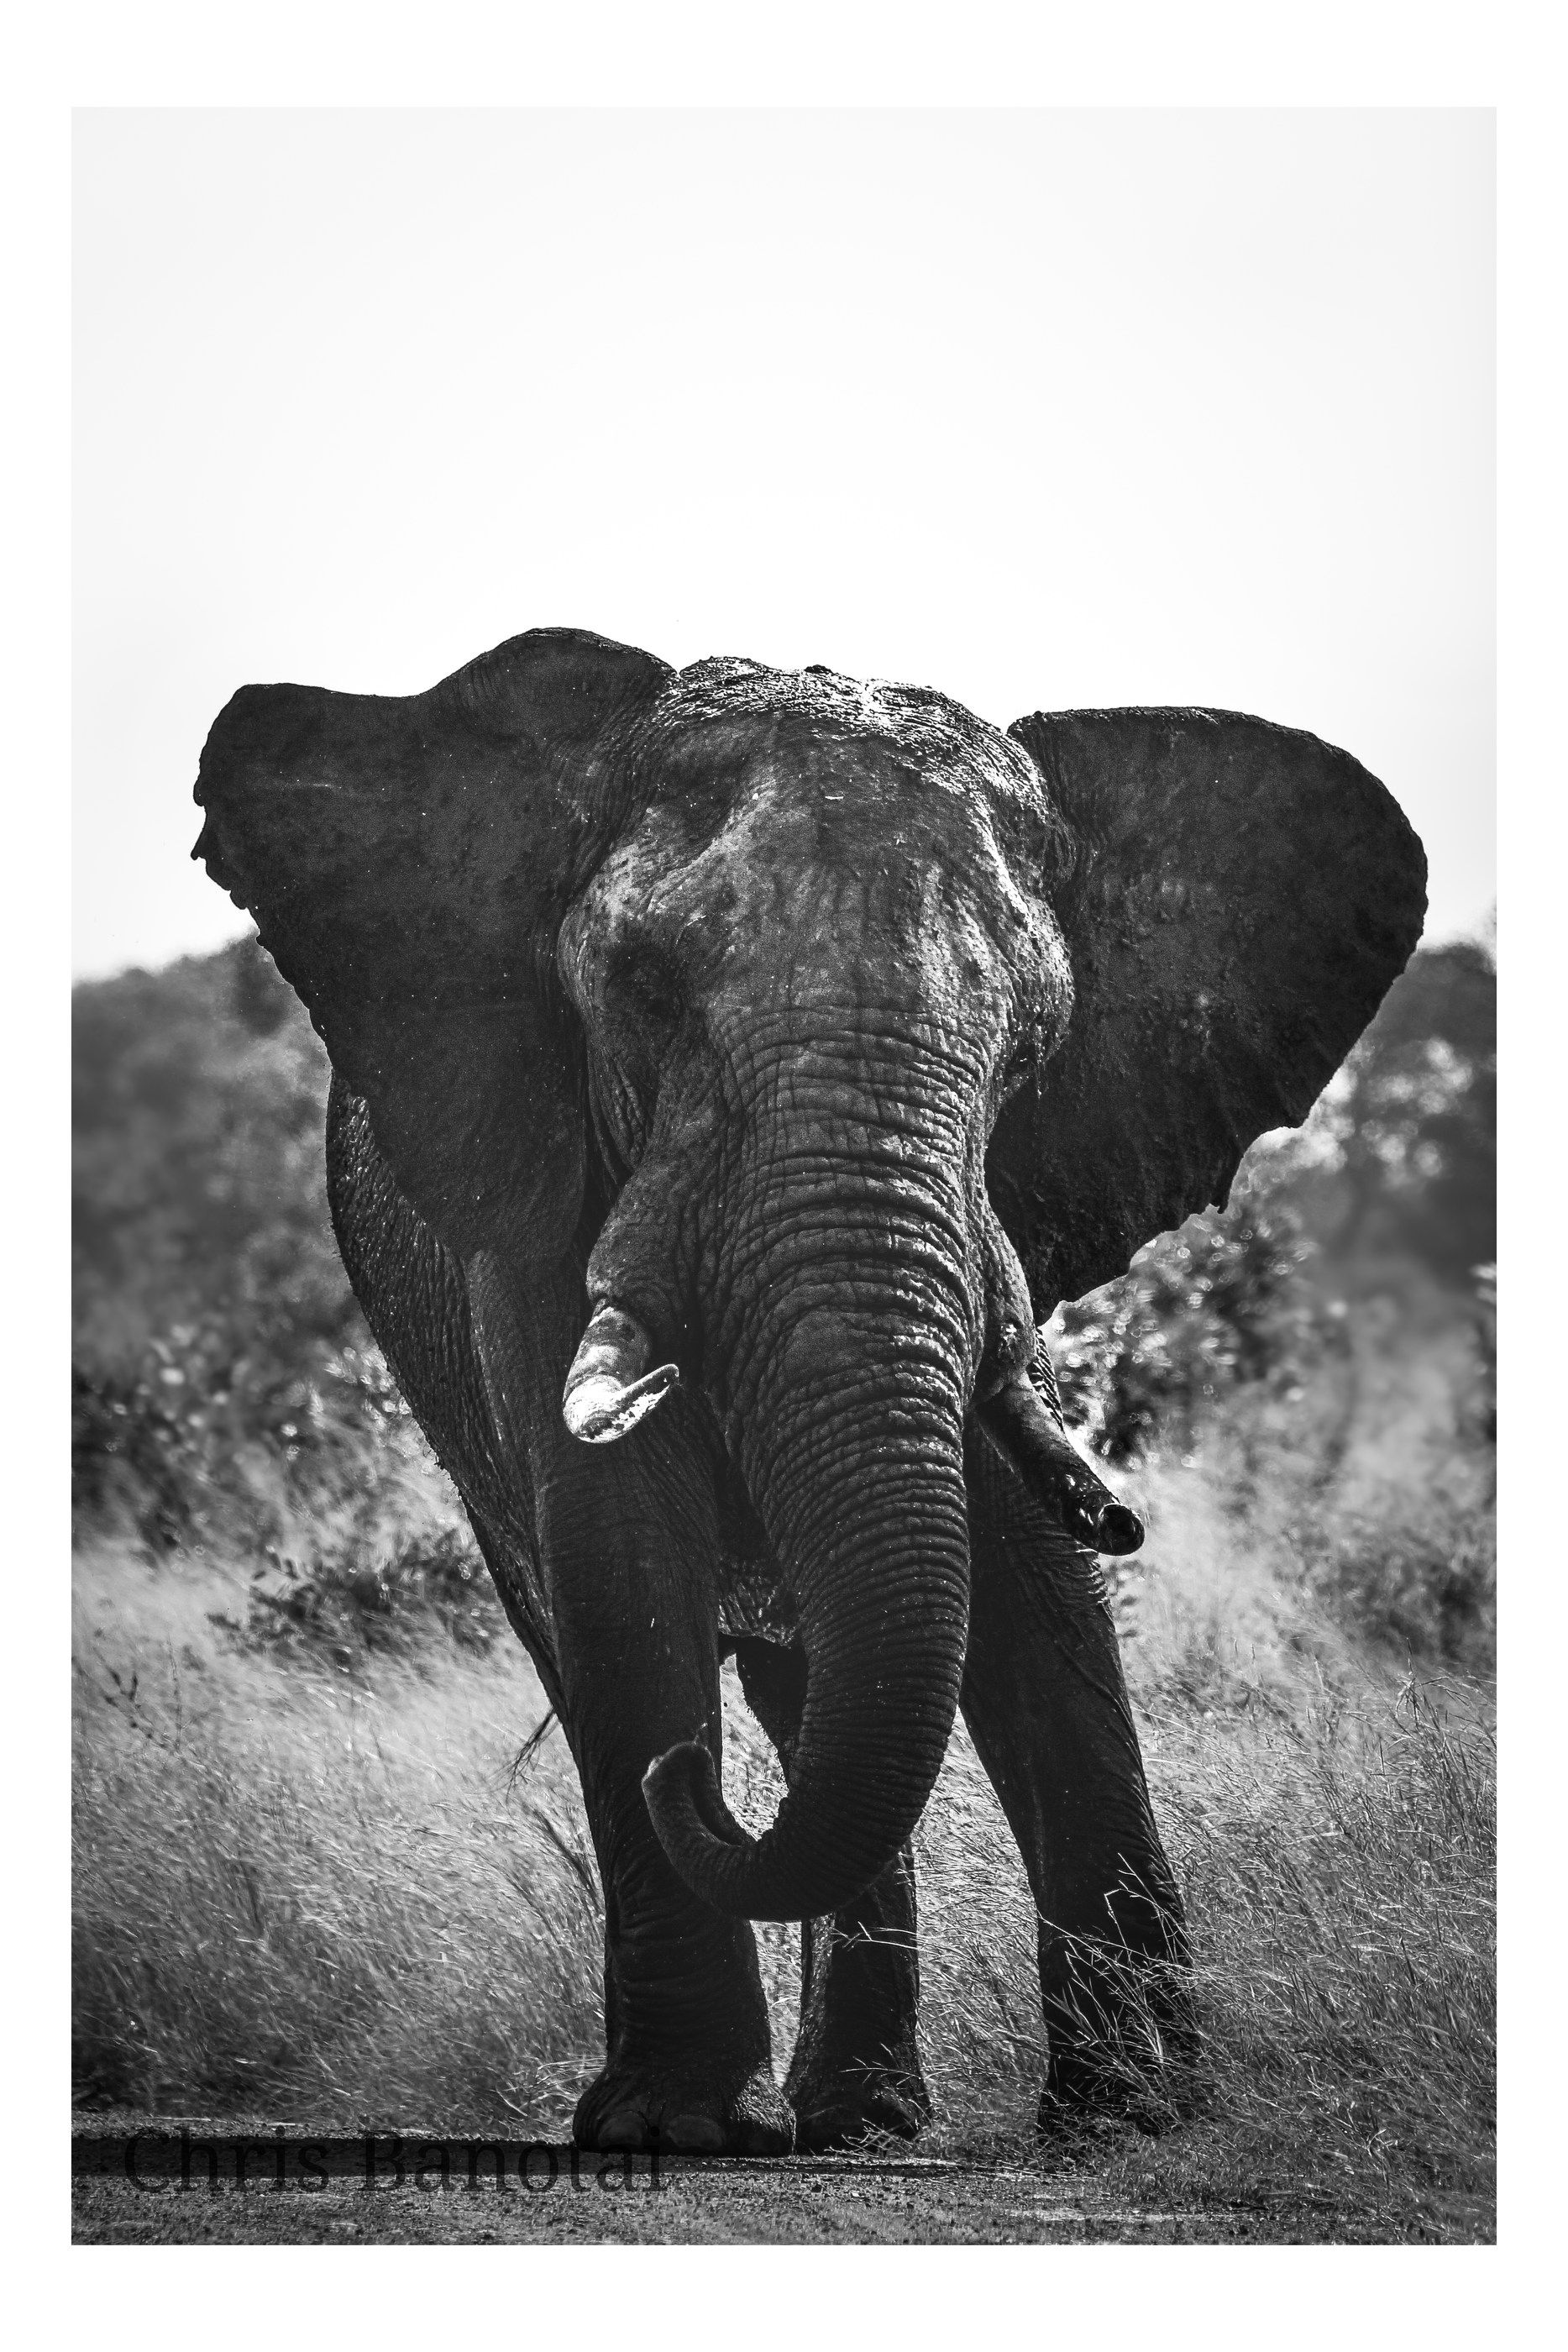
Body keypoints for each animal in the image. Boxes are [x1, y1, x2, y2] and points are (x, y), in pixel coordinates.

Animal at [192, 628, 1425, 2154]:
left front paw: (1141, 2112)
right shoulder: (528, 1202)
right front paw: (670, 2126)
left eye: (1029, 1053)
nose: (682, 1780)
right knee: (610, 1642)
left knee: (818, 1685)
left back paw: (864, 2116)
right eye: (644, 997)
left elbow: (1031, 1587)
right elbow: (619, 1554)